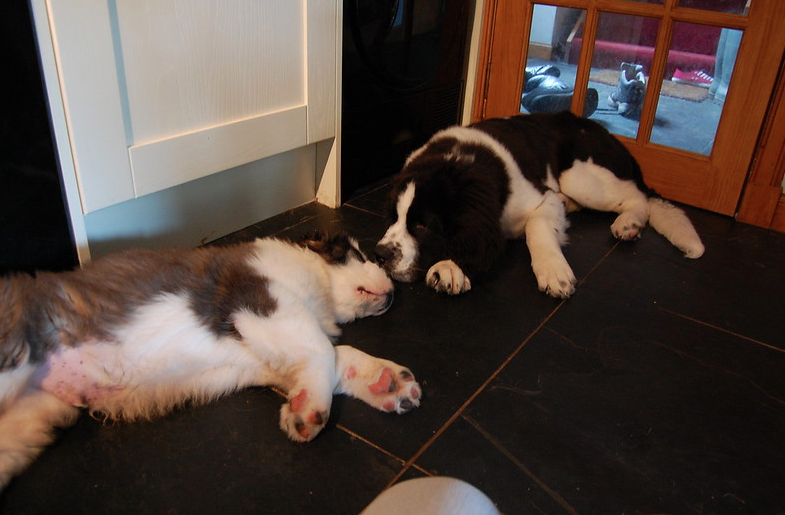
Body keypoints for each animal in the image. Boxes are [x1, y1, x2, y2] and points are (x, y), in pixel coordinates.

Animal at [0, 234, 422, 492]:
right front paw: (308, 413)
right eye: (362, 255)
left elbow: (335, 356)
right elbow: (322, 349)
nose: (394, 291)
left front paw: (387, 381)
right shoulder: (259, 301)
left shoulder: (269, 352)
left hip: (29, 421)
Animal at [374, 113, 704, 298]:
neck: (457, 161)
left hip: (582, 177)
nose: (380, 255)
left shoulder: (542, 197)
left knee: (640, 197)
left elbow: (539, 227)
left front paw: (554, 272)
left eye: (422, 226)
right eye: (392, 218)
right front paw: (451, 267)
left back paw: (629, 223)